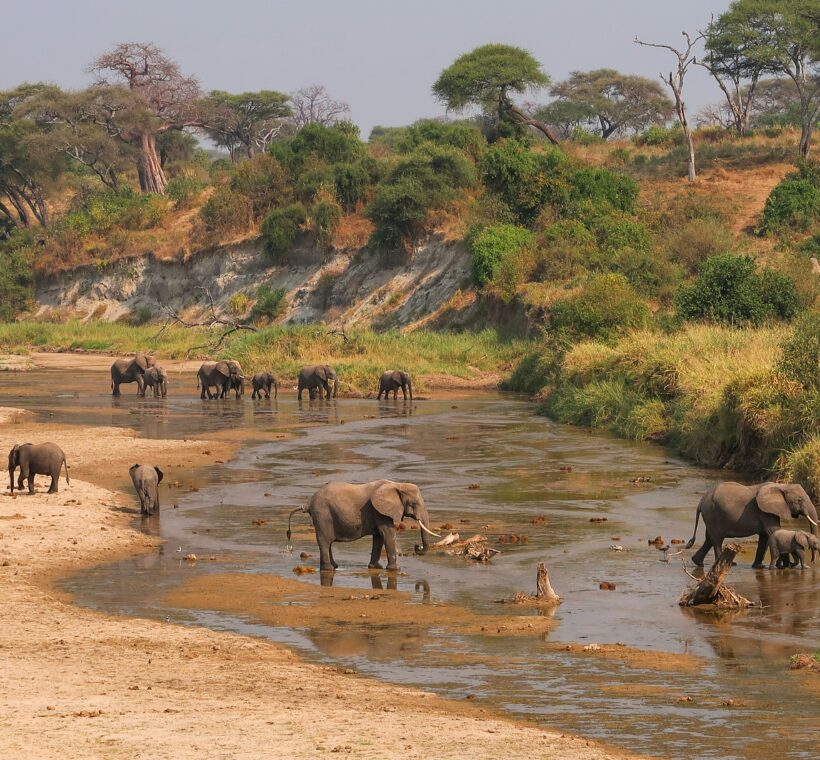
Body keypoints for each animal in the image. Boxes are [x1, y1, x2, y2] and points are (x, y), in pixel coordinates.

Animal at [287, 479, 439, 572]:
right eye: (414, 504)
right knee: (324, 541)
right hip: (322, 515)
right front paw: (395, 570)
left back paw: (334, 566)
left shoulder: (379, 512)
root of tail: (308, 503)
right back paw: (329, 569)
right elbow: (388, 534)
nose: (417, 546)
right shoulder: (380, 512)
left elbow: (379, 536)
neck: (397, 485)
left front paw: (375, 567)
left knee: (327, 542)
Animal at [686, 481, 819, 568]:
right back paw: (727, 564)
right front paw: (786, 567)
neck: (782, 485)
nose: (813, 561)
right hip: (713, 514)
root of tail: (701, 501)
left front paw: (759, 567)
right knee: (717, 540)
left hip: (710, 516)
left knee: (709, 539)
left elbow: (765, 536)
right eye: (799, 500)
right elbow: (774, 531)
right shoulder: (765, 512)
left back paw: (698, 562)